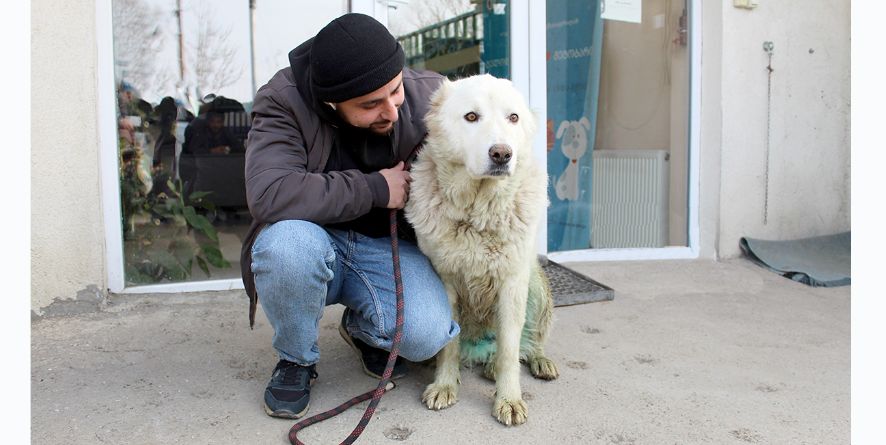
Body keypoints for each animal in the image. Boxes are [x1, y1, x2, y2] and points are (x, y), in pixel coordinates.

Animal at [404, 74, 560, 424]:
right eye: (471, 117)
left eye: (513, 118)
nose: (502, 154)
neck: (478, 213)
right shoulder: (446, 282)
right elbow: (448, 346)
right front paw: (445, 385)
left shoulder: (512, 284)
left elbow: (510, 350)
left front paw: (509, 398)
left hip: (535, 286)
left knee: (529, 342)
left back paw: (535, 360)